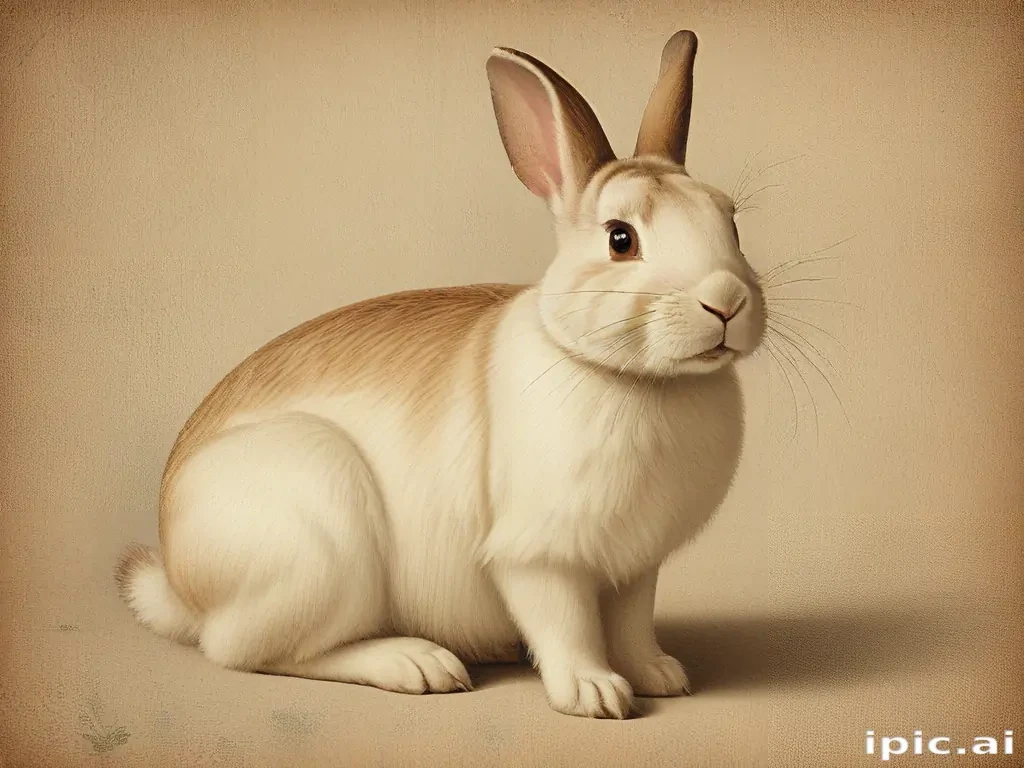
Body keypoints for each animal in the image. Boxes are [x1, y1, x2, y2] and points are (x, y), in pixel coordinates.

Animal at [115, 30, 766, 720]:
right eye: (621, 239)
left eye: (730, 221)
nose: (726, 301)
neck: (630, 375)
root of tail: (181, 583)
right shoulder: (537, 558)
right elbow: (567, 625)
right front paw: (595, 694)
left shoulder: (636, 568)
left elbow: (632, 625)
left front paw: (660, 676)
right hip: (317, 535)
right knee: (249, 649)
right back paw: (417, 663)